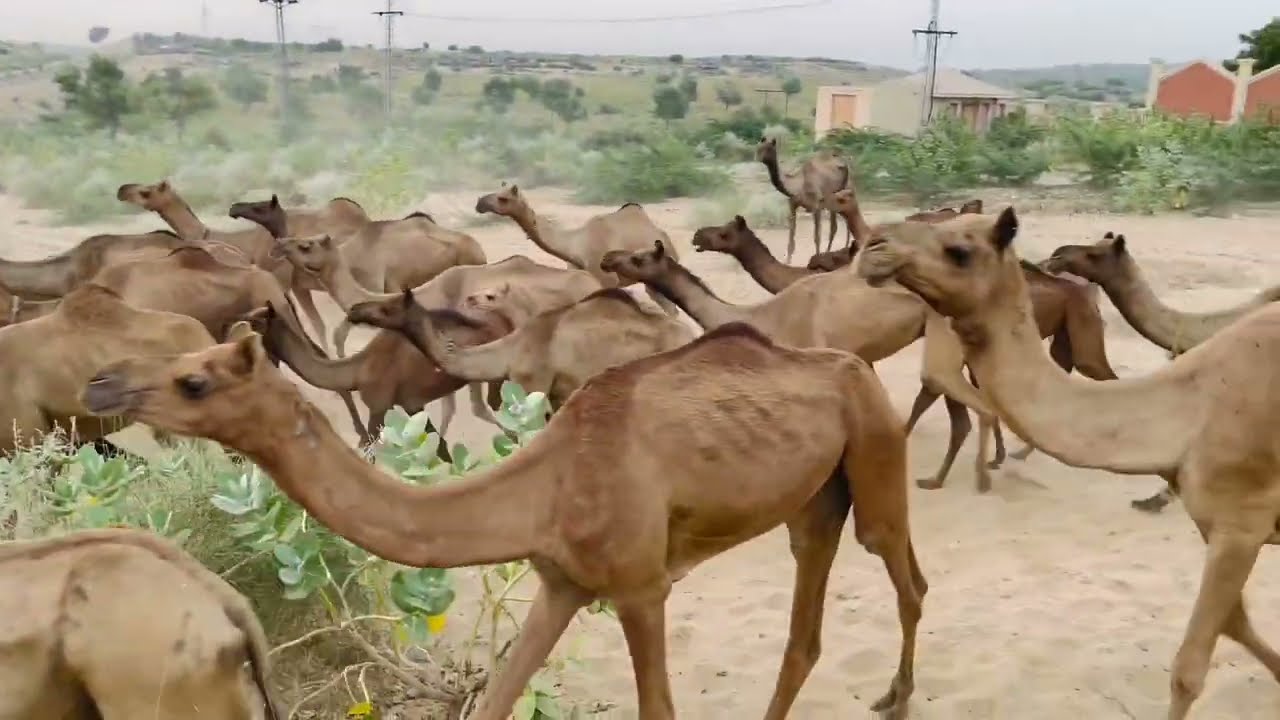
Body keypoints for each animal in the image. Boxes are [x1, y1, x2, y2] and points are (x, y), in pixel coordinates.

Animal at [82, 323, 926, 720]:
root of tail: (852, 367)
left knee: (906, 577)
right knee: (805, 632)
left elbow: (657, 706)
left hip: (875, 442)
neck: (545, 485)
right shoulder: (562, 583)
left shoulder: (641, 588)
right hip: (814, 499)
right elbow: (495, 699)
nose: (100, 384)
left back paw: (895, 696)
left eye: (194, 380)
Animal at [245, 302, 510, 452]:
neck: (358, 369)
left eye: (255, 322)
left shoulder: (378, 407)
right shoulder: (411, 404)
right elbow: (440, 448)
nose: (240, 326)